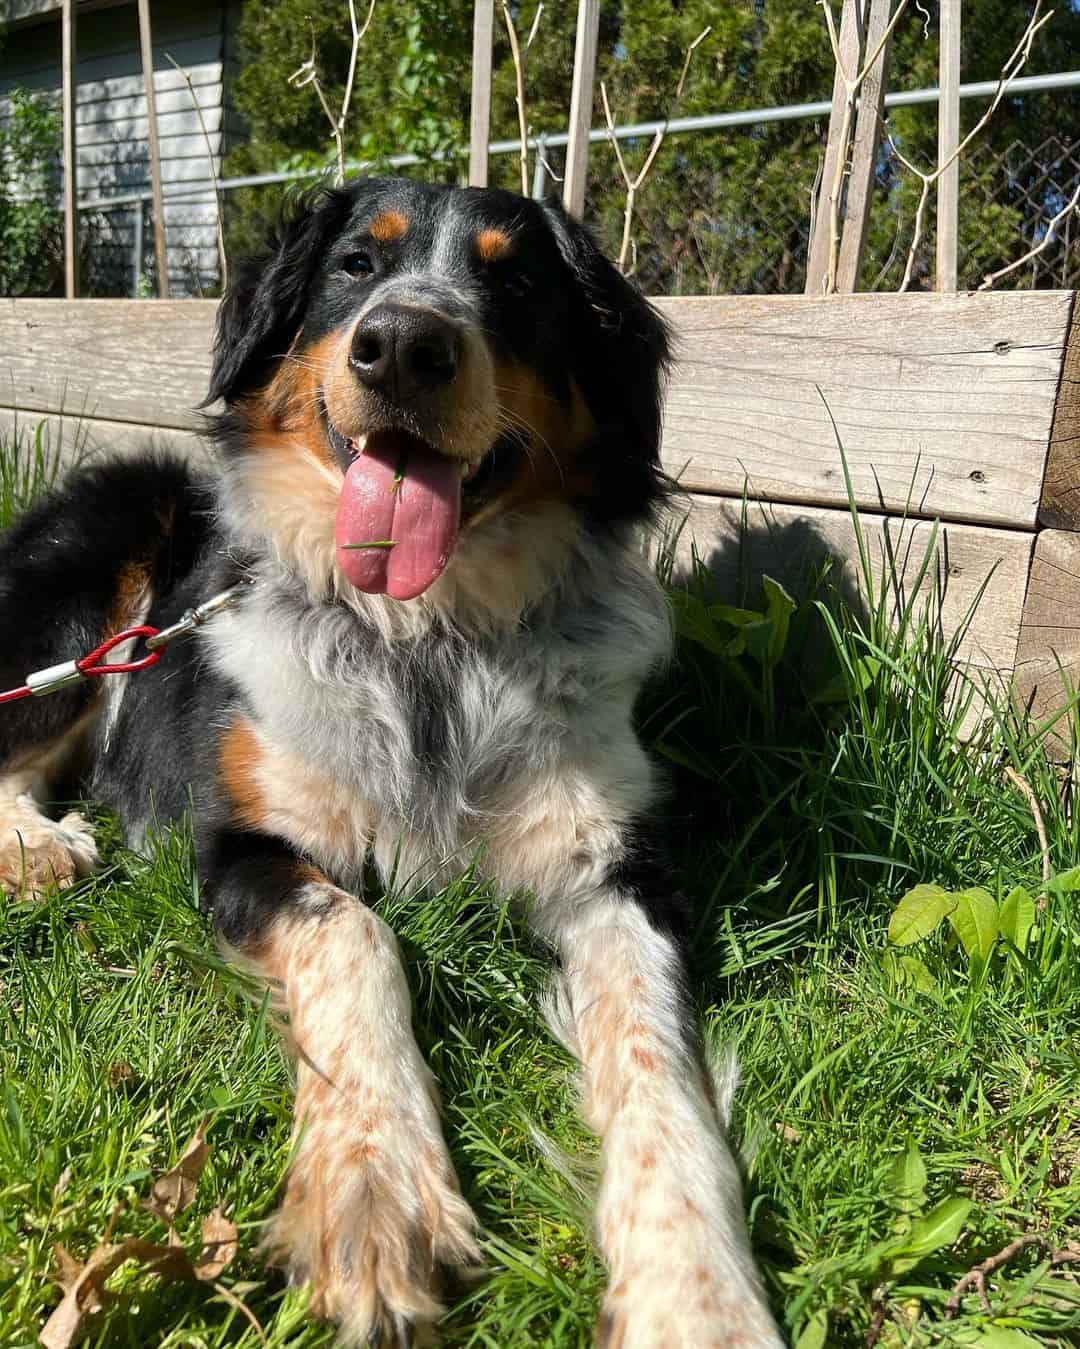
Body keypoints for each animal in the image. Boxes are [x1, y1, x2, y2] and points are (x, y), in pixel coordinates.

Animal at [0, 182, 782, 1349]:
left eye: (517, 280)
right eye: (355, 267)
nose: (406, 345)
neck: (428, 640)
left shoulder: (616, 873)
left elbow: (657, 1060)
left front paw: (698, 1296)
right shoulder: (244, 843)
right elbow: (358, 931)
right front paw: (372, 1192)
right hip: (101, 556)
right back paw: (36, 845)